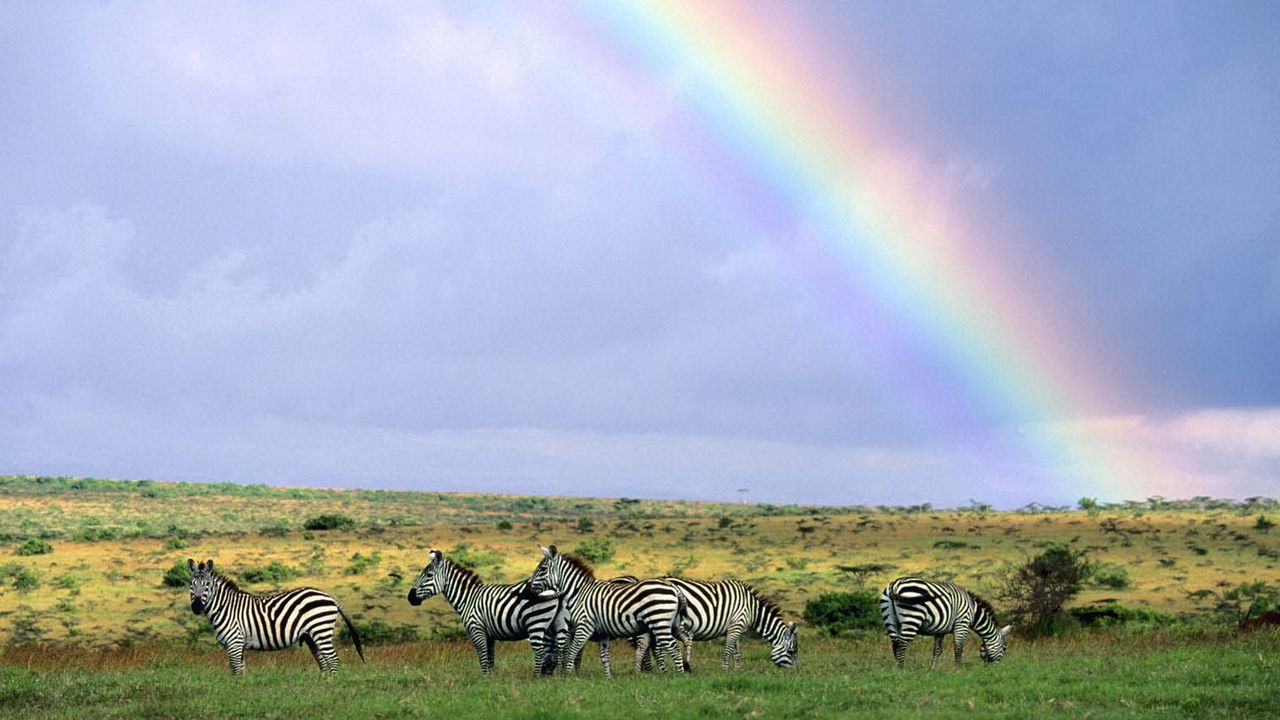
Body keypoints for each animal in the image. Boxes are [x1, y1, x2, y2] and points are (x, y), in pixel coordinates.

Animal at [185, 556, 366, 671]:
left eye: (207, 584)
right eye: (191, 584)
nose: (196, 606)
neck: (225, 608)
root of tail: (331, 598)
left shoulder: (234, 642)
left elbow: (236, 670)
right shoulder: (238, 644)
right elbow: (241, 669)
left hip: (321, 630)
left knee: (333, 660)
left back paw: (331, 688)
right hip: (311, 636)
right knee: (324, 662)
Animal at [407, 548, 563, 671]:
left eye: (428, 575)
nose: (410, 598)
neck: (468, 598)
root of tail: (553, 586)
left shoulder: (477, 629)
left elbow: (482, 658)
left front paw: (484, 680)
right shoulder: (489, 634)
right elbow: (490, 659)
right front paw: (491, 680)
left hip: (536, 623)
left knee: (541, 653)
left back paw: (536, 678)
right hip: (549, 626)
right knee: (552, 653)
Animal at [524, 543, 691, 676]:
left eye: (542, 569)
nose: (529, 589)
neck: (579, 592)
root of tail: (674, 588)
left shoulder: (584, 626)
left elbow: (572, 651)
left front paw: (566, 677)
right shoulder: (603, 632)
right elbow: (604, 656)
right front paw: (608, 678)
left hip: (659, 622)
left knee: (673, 647)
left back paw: (678, 677)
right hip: (672, 623)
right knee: (682, 639)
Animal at [634, 573, 793, 671]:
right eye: (791, 652)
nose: (793, 674)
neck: (752, 609)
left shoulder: (736, 627)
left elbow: (737, 652)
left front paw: (737, 671)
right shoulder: (737, 623)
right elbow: (728, 650)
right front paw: (725, 670)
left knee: (647, 645)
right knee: (655, 646)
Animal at [880, 571, 1008, 666]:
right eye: (1004, 648)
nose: (996, 668)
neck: (973, 612)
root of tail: (895, 585)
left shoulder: (940, 630)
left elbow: (937, 650)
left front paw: (933, 668)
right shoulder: (962, 624)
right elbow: (959, 648)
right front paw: (958, 669)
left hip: (890, 620)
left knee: (895, 644)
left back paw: (897, 669)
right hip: (912, 618)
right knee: (902, 644)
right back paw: (902, 669)